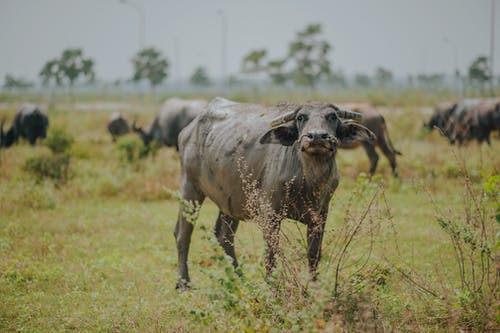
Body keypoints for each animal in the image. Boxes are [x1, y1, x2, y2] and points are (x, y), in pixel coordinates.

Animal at [174, 96, 374, 288]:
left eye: (332, 117)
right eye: (301, 117)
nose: (317, 137)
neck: (308, 180)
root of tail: (187, 131)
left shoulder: (320, 215)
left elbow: (313, 254)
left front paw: (314, 285)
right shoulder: (270, 214)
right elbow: (271, 254)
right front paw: (271, 286)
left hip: (231, 201)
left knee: (224, 237)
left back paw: (241, 279)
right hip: (190, 189)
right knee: (183, 234)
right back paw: (184, 282)